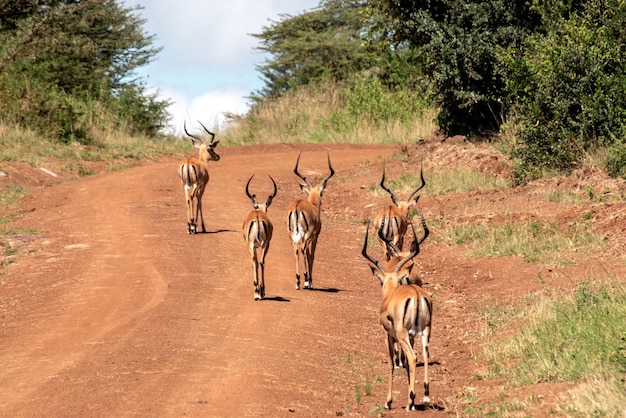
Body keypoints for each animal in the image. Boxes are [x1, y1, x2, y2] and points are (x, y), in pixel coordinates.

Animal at [286, 151, 334, 290]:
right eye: (321, 193)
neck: (313, 206)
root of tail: (296, 207)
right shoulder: (315, 236)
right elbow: (311, 255)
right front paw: (310, 281)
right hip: (306, 235)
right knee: (302, 250)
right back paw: (306, 281)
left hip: (291, 235)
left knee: (296, 250)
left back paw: (297, 282)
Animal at [358, 220, 432, 410]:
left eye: (382, 282)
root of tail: (416, 294)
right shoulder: (411, 336)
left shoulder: (388, 335)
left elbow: (392, 363)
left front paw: (388, 401)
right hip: (425, 332)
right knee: (424, 354)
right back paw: (425, 396)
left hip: (402, 333)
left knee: (413, 357)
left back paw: (409, 402)